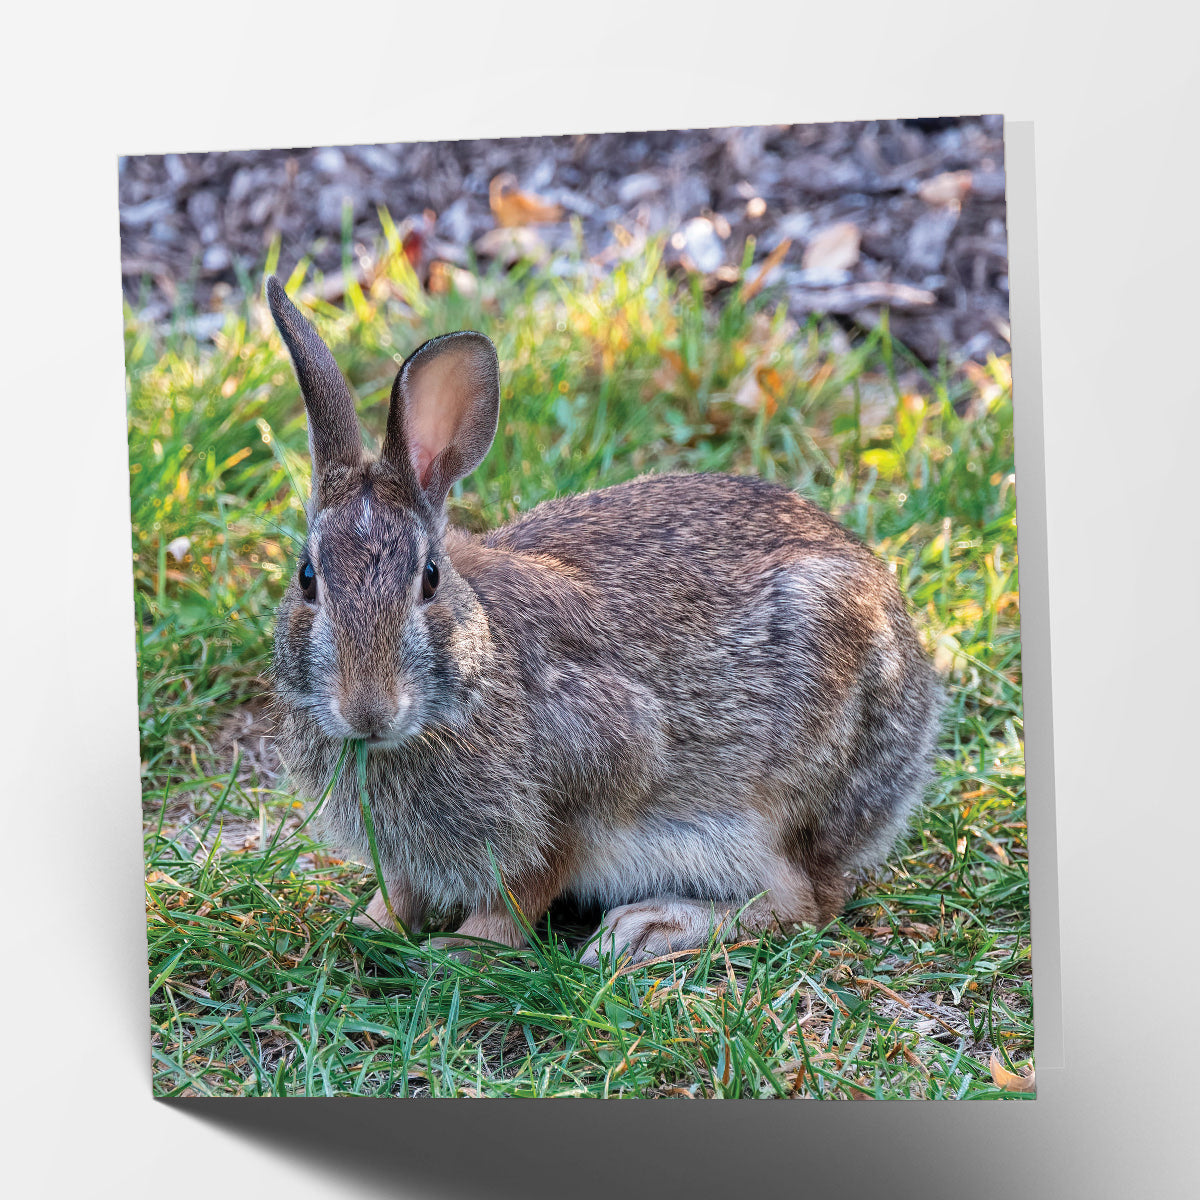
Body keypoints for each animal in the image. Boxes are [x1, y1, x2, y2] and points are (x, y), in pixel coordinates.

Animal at [264, 274, 944, 966]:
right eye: (308, 579)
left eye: (428, 578)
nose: (367, 710)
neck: (476, 672)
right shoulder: (407, 854)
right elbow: (400, 891)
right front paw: (365, 927)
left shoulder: (580, 793)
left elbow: (521, 894)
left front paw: (462, 952)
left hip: (768, 807)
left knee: (804, 902)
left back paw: (646, 928)